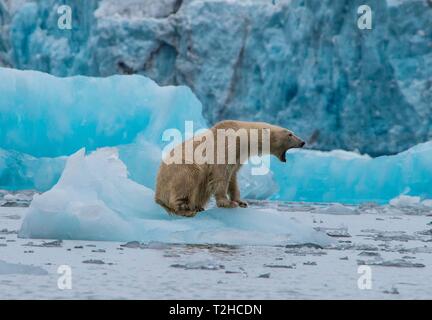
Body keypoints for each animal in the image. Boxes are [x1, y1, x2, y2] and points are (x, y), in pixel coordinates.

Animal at [154, 120, 304, 218]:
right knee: (188, 179)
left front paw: (241, 201)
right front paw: (227, 203)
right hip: (180, 169)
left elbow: (233, 177)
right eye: (290, 134)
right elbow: (220, 175)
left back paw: (198, 206)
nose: (303, 142)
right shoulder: (225, 147)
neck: (241, 135)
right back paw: (187, 209)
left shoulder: (238, 156)